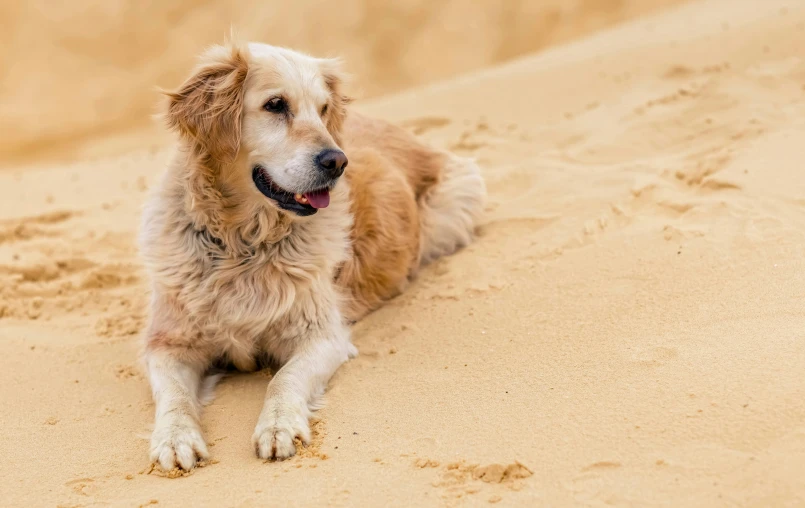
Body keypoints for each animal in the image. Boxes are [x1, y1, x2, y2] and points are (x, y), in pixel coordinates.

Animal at [138, 40, 484, 472]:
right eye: (275, 105)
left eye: (322, 109)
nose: (337, 161)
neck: (242, 243)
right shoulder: (167, 342)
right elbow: (174, 397)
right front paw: (174, 438)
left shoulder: (321, 335)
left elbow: (283, 379)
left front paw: (277, 427)